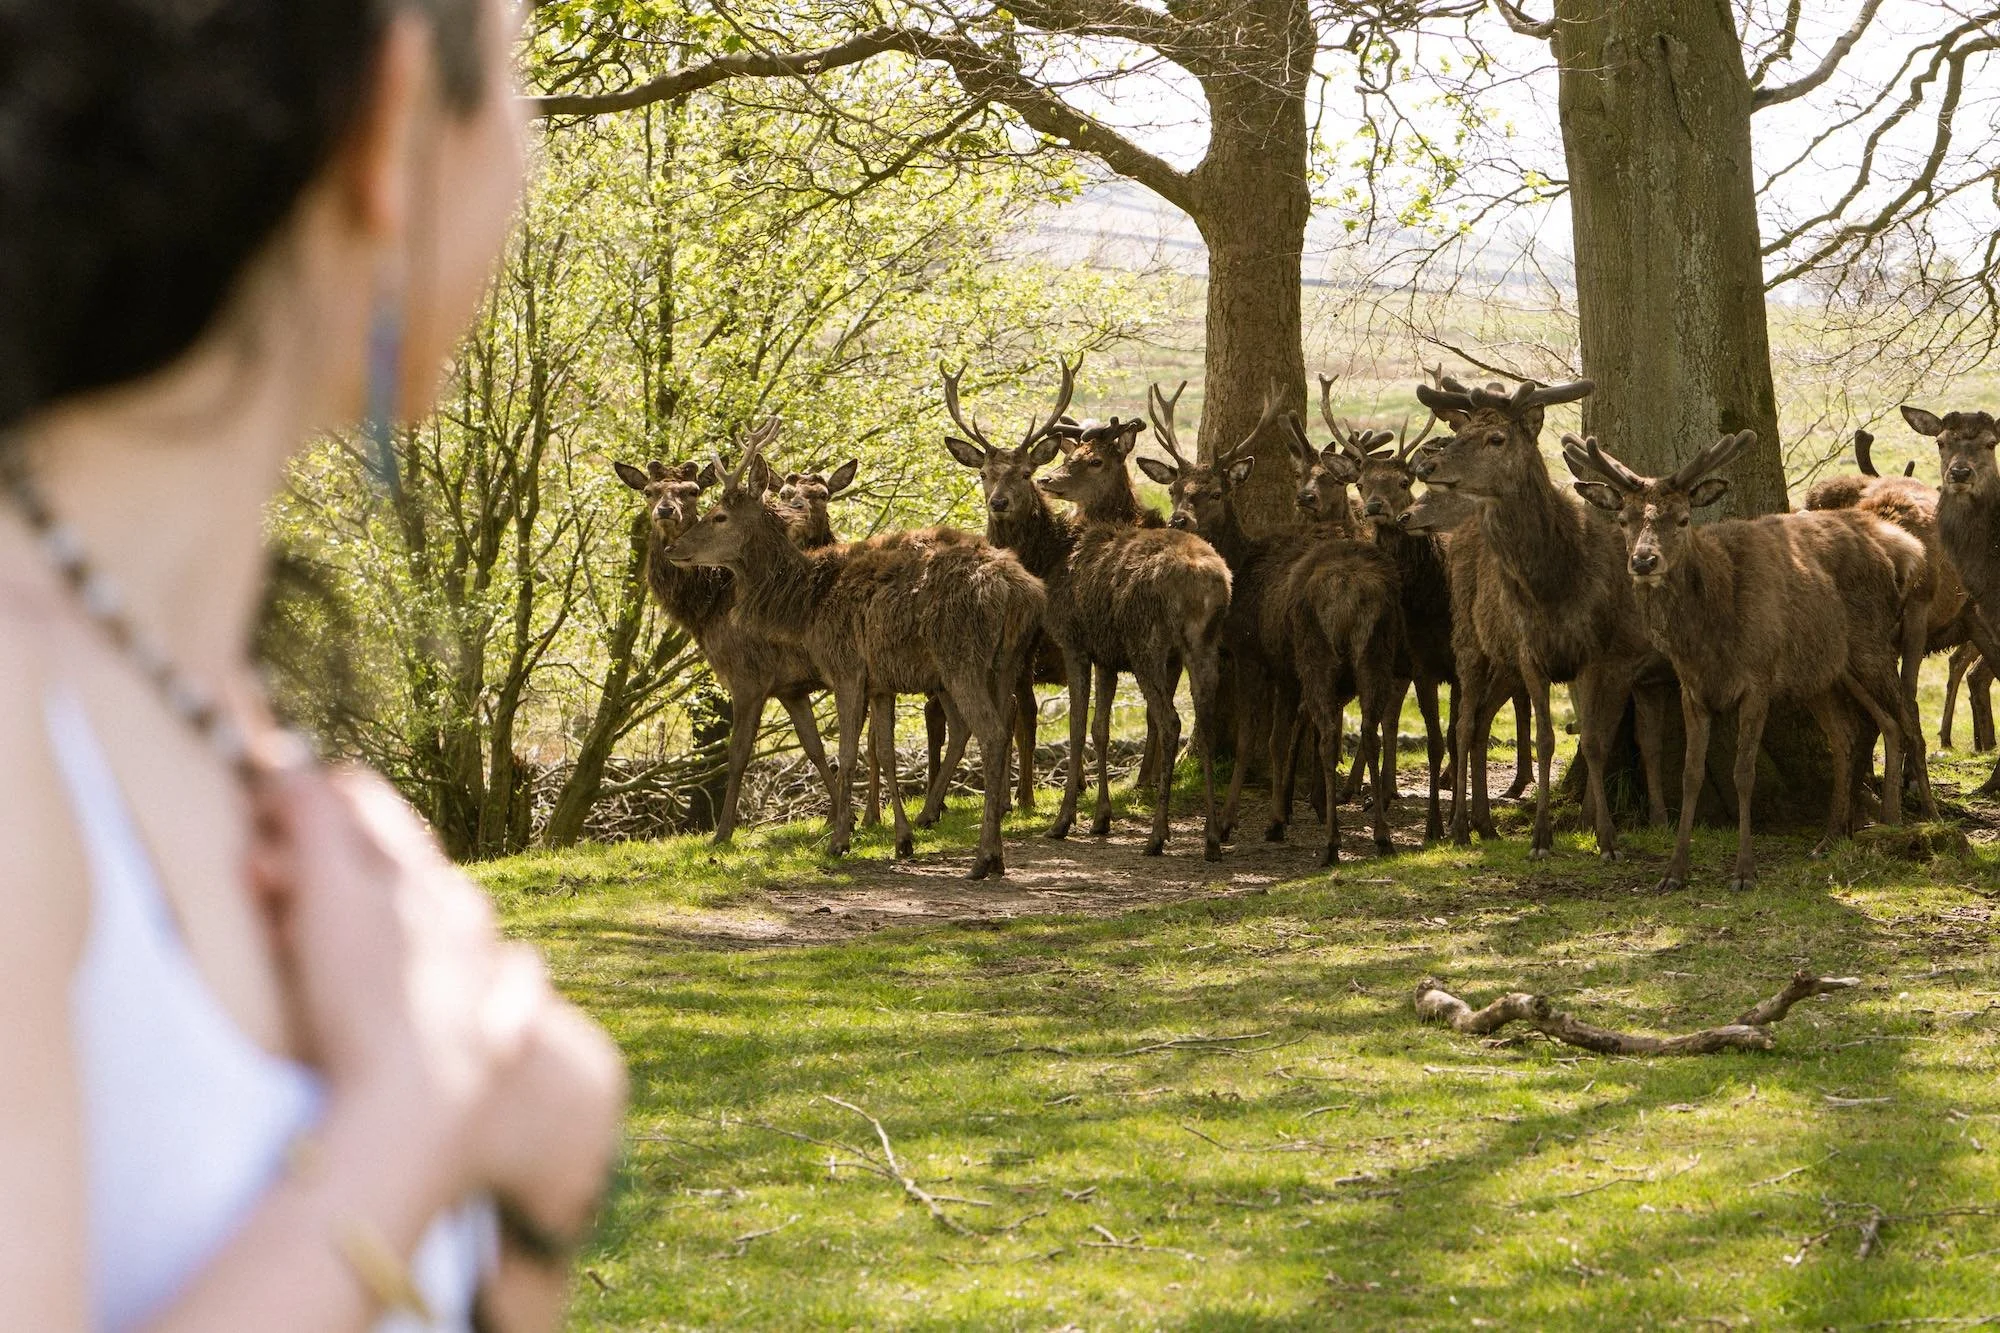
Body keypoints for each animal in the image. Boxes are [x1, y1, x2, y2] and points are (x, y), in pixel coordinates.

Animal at [664, 431, 1044, 879]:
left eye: (720, 516)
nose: (673, 547)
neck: (807, 602)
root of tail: (1019, 588)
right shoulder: (879, 682)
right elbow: (884, 751)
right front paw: (902, 840)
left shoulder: (844, 666)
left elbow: (845, 753)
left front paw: (840, 840)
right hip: (1006, 661)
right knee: (1003, 719)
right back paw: (996, 852)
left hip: (961, 658)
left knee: (991, 731)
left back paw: (983, 858)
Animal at [944, 363, 1233, 859]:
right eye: (982, 472)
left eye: (1026, 472)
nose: (999, 502)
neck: (1052, 558)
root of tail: (1208, 582)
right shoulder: (1106, 652)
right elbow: (1099, 726)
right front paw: (1100, 818)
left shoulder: (1073, 640)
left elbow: (1076, 724)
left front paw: (1062, 820)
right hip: (1203, 644)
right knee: (1205, 719)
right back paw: (1211, 839)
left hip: (1149, 642)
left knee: (1170, 720)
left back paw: (1157, 835)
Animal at [1410, 373, 1670, 860]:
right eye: (1462, 432)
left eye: (1497, 438)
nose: (1427, 468)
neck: (1553, 583)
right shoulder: (1530, 651)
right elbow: (1545, 739)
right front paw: (1540, 838)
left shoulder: (1592, 651)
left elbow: (1591, 739)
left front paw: (1606, 839)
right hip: (1469, 641)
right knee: (1464, 725)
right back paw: (1459, 827)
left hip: (1503, 662)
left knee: (1480, 724)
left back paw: (1485, 825)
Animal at [1570, 431, 1935, 891]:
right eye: (1623, 520)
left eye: (1683, 519)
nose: (1644, 560)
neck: (1710, 635)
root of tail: (1899, 551)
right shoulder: (1692, 687)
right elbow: (1691, 774)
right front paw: (1675, 871)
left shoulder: (1758, 678)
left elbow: (1744, 772)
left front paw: (1744, 871)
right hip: (1825, 672)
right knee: (1852, 734)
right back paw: (1831, 838)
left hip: (1873, 644)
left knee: (1907, 717)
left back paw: (1914, 820)